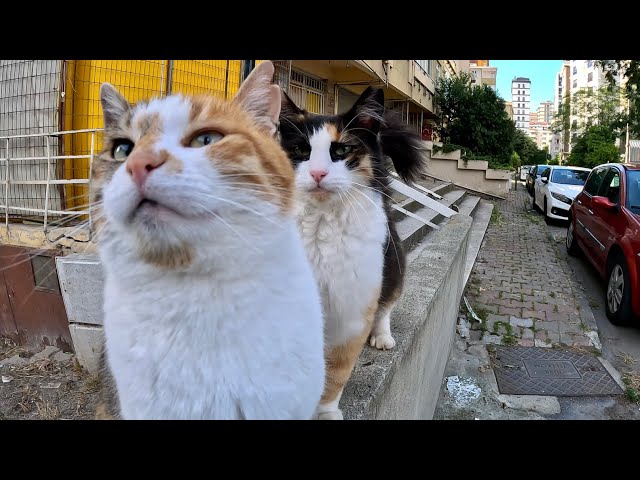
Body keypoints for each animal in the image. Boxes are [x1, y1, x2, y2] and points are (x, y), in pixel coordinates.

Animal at [278, 86, 428, 420]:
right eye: (301, 150)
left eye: (342, 150)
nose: (318, 173)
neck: (321, 227)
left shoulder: (351, 313)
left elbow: (335, 372)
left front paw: (325, 411)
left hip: (390, 267)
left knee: (386, 306)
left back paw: (382, 336)